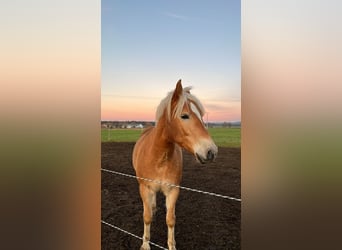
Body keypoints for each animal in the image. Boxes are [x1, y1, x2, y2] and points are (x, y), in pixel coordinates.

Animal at [132, 79, 218, 249]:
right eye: (184, 116)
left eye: (202, 116)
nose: (211, 151)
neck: (158, 158)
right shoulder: (145, 188)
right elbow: (147, 217)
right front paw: (145, 244)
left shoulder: (173, 190)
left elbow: (170, 220)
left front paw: (171, 245)